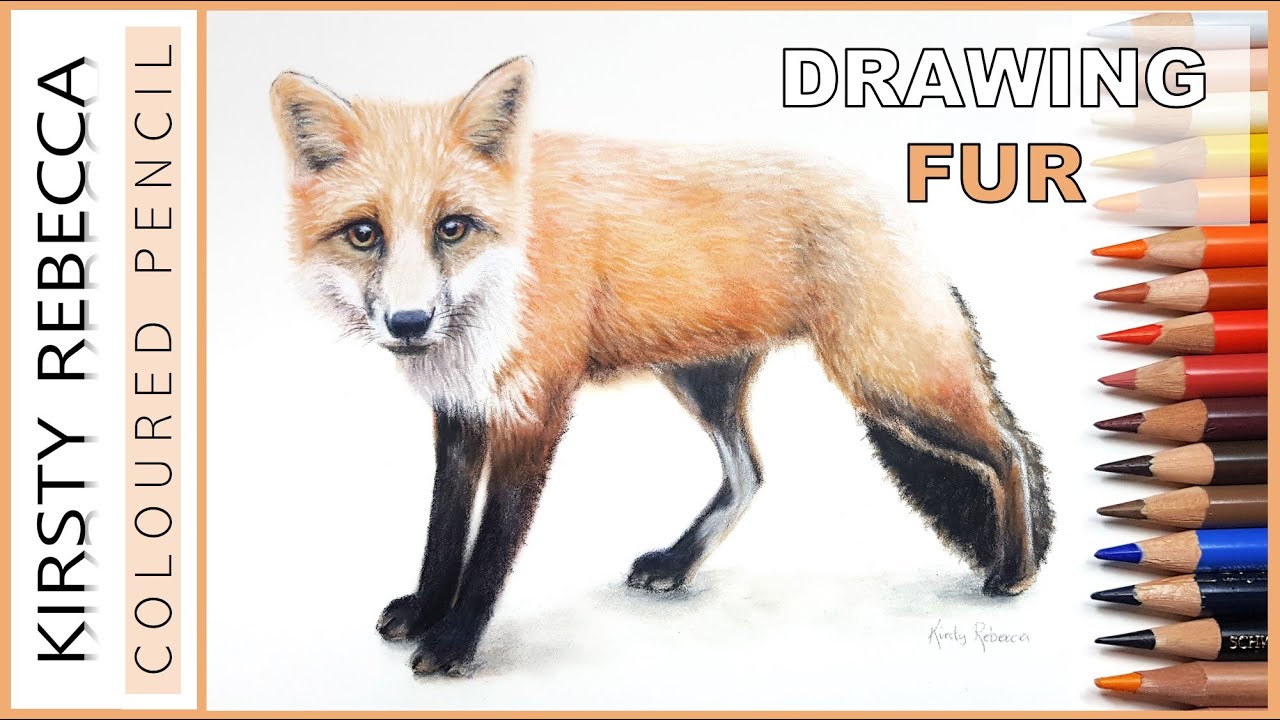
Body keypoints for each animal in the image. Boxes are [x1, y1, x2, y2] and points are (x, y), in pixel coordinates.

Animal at [270, 57, 1053, 676]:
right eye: (364, 234)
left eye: (452, 228)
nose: (409, 324)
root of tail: (891, 199)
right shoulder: (461, 412)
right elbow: (442, 529)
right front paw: (430, 611)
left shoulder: (535, 410)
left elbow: (490, 547)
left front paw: (457, 641)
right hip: (706, 385)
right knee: (750, 474)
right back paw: (677, 564)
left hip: (889, 381)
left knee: (1009, 447)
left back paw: (1014, 573)